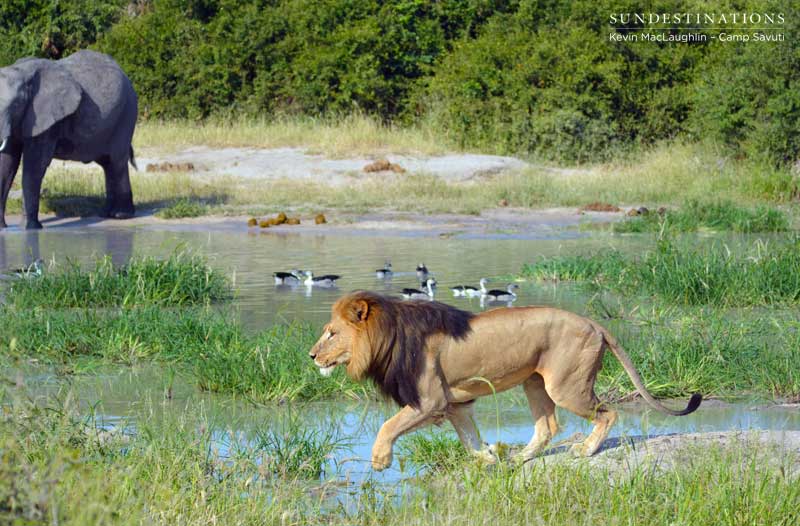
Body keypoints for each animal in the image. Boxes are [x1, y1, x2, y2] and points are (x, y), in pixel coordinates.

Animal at [309, 291, 702, 471]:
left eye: (331, 333)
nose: (311, 356)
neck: (388, 336)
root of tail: (594, 323)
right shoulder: (455, 403)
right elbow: (469, 439)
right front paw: (489, 457)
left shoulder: (430, 400)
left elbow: (388, 425)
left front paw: (380, 460)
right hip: (535, 383)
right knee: (547, 427)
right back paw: (519, 458)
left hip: (566, 386)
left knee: (608, 413)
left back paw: (586, 450)